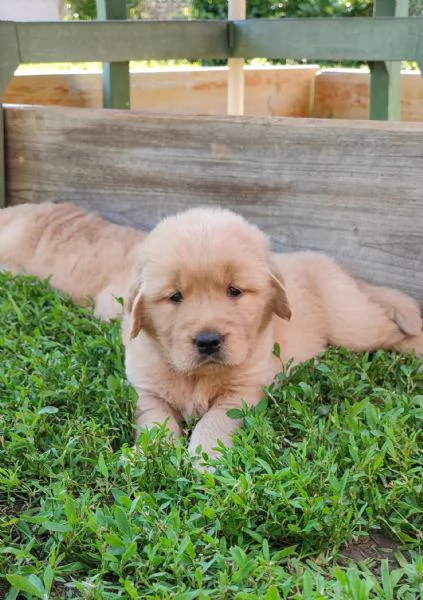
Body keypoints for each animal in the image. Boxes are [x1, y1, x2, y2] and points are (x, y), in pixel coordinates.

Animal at [122, 206, 423, 460]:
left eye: (234, 291)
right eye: (175, 297)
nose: (208, 341)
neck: (197, 376)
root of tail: (341, 269)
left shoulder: (242, 391)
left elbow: (213, 421)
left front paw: (205, 458)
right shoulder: (147, 392)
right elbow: (154, 424)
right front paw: (145, 455)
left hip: (353, 325)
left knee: (391, 329)